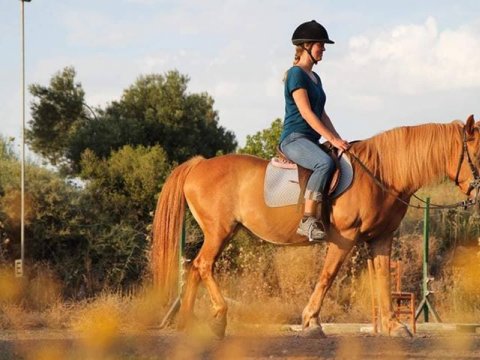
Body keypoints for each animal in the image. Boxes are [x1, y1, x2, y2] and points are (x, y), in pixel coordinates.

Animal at [151, 115, 480, 338]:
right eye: (476, 153)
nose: (477, 193)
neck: (380, 175)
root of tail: (199, 164)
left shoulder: (380, 239)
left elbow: (383, 280)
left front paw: (393, 325)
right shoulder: (345, 238)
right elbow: (327, 276)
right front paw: (311, 322)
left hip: (221, 233)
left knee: (196, 267)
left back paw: (190, 324)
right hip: (219, 232)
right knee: (204, 266)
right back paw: (218, 316)